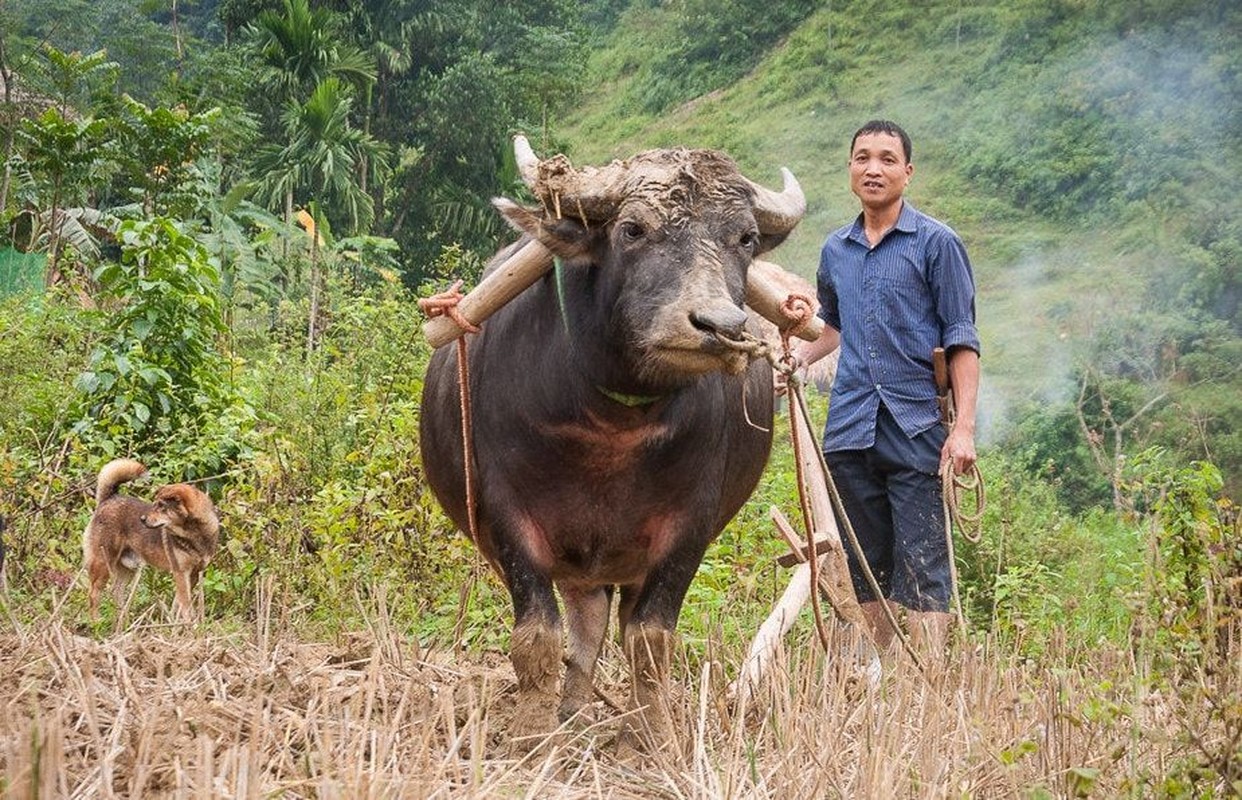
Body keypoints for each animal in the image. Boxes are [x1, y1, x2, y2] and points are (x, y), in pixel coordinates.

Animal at [81, 459, 221, 621]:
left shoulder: (193, 574)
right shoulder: (181, 573)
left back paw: (123, 620)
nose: (142, 519)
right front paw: (188, 623)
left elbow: (178, 604)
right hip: (102, 564)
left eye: (161, 506)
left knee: (116, 591)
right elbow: (185, 606)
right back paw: (96, 622)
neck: (194, 534)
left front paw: (174, 622)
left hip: (127, 569)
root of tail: (109, 499)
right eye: (155, 504)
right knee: (94, 595)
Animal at [417, 139, 804, 755]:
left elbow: (650, 640)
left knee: (605, 624)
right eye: (633, 229)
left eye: (744, 237)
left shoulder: (690, 525)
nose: (717, 326)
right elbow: (537, 637)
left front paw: (655, 737)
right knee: (586, 624)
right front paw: (530, 736)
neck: (612, 429)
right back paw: (571, 713)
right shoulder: (506, 516)